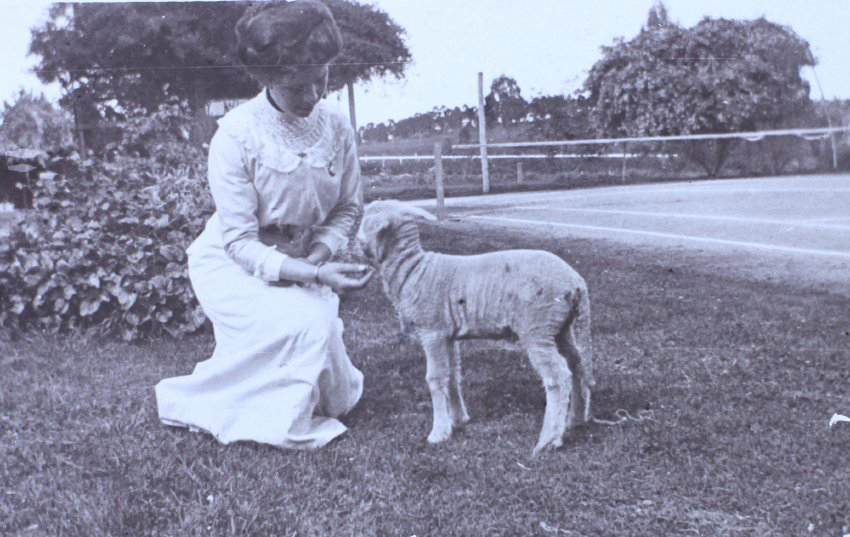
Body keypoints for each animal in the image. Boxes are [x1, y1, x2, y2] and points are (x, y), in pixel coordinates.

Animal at [354, 200, 595, 455]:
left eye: (366, 220)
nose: (353, 247)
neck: (415, 270)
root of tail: (576, 282)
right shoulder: (447, 334)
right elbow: (452, 375)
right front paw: (458, 419)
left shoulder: (432, 331)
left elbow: (435, 378)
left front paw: (438, 432)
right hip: (560, 327)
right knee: (576, 363)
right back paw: (576, 418)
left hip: (538, 326)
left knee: (558, 376)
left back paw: (548, 440)